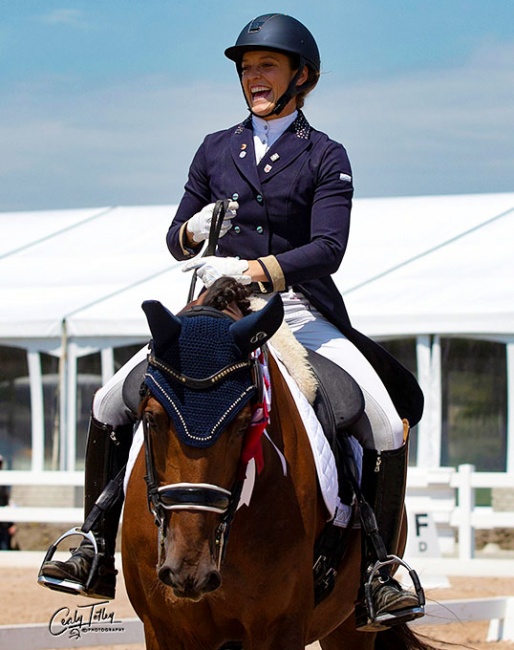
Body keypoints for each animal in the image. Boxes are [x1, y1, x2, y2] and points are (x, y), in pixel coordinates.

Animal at [121, 278, 432, 648]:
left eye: (245, 423)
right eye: (151, 418)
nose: (189, 567)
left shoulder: (280, 628)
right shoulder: (164, 628)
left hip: (348, 627)